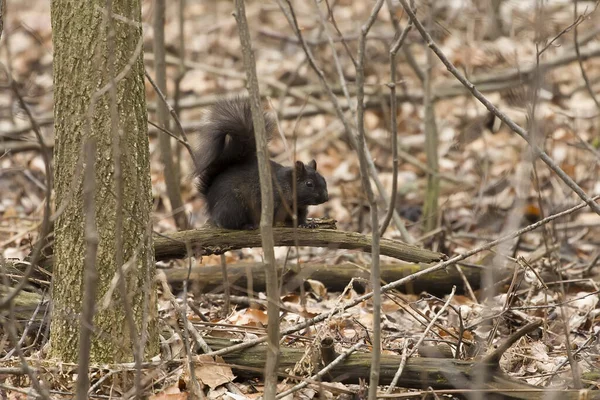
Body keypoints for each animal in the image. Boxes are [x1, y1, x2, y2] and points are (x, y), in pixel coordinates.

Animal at [195, 97, 328, 230]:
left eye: (324, 179)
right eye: (309, 184)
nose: (326, 197)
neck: (287, 184)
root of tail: (209, 197)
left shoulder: (299, 208)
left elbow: (299, 217)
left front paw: (306, 224)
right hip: (233, 205)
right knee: (227, 222)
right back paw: (247, 225)